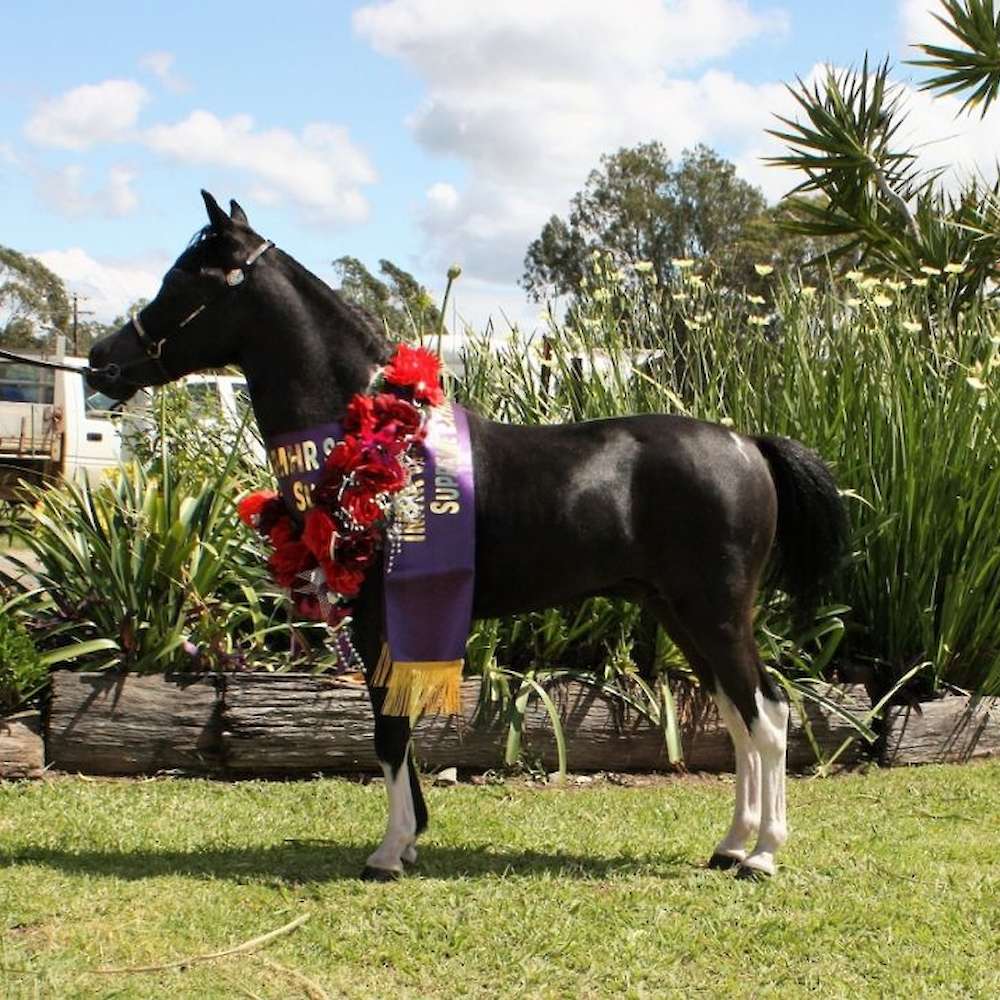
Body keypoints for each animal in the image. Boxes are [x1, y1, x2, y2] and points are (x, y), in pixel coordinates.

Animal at [90, 195, 848, 884]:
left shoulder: (379, 619)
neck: (368, 442)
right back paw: (730, 847)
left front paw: (389, 853)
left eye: (185, 280)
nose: (102, 360)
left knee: (767, 714)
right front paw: (410, 840)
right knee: (737, 715)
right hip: (680, 613)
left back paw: (763, 856)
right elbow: (392, 728)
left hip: (715, 612)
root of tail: (746, 443)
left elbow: (387, 729)